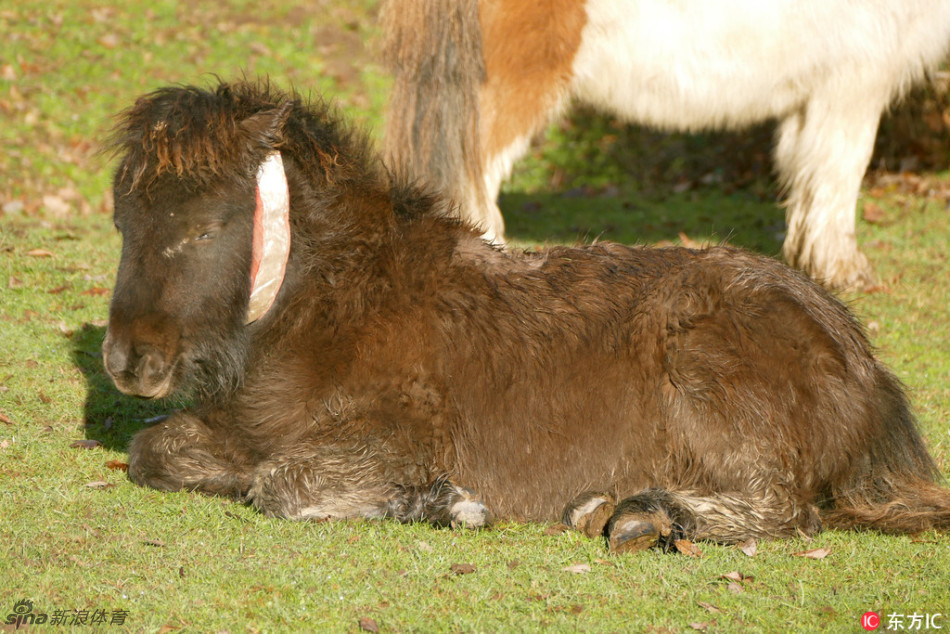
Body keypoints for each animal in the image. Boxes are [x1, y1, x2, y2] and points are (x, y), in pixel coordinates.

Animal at [104, 81, 950, 552]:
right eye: (121, 219)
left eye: (204, 228)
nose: (126, 364)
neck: (329, 303)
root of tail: (866, 366)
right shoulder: (234, 426)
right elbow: (157, 453)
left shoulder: (396, 434)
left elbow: (280, 484)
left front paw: (446, 504)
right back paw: (603, 506)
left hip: (708, 378)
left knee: (786, 510)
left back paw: (645, 517)